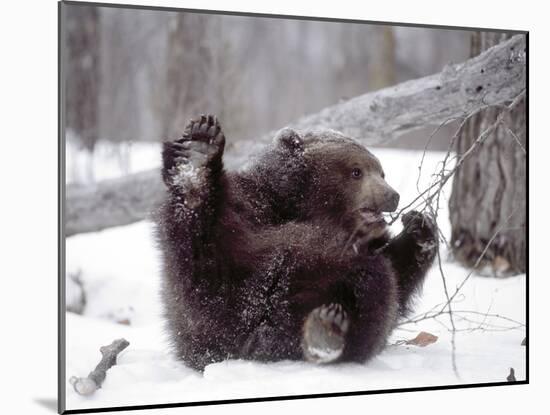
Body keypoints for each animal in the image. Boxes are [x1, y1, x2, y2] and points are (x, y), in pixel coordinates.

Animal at [156, 114, 440, 370]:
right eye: (356, 171)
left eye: (381, 172)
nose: (392, 195)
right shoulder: (250, 208)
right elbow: (203, 259)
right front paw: (197, 153)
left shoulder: (369, 243)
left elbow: (397, 279)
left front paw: (420, 229)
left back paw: (324, 331)